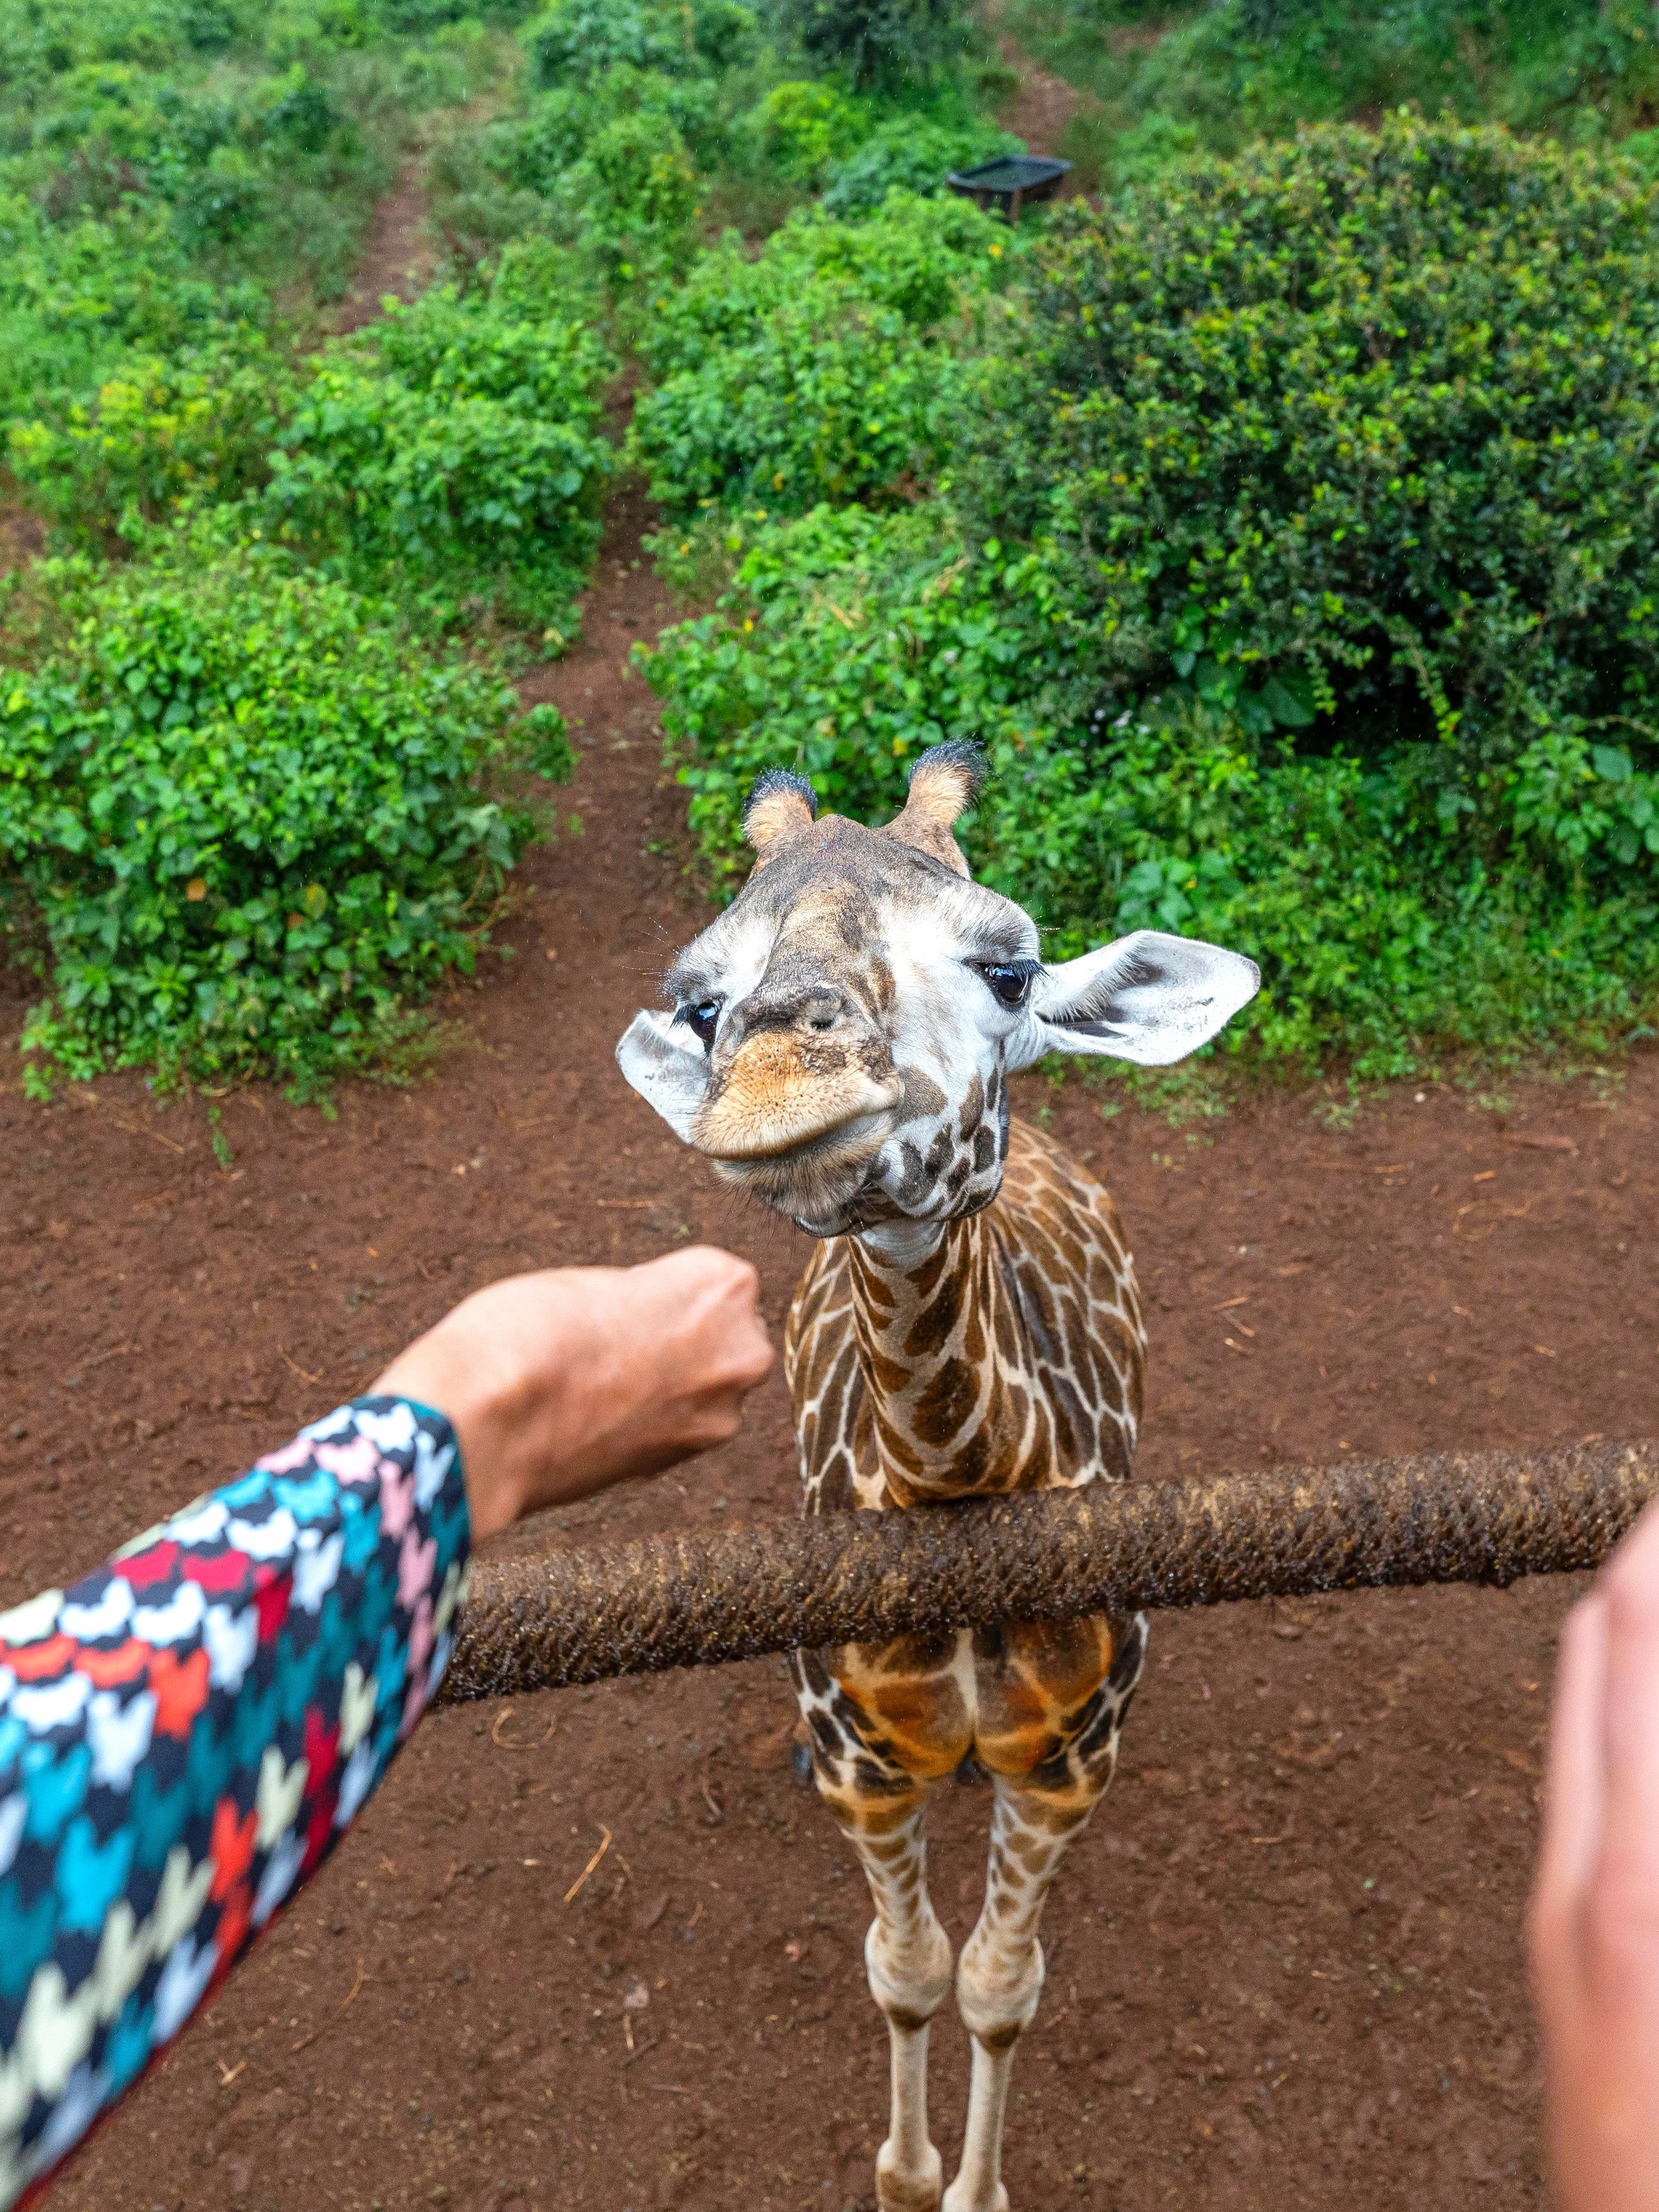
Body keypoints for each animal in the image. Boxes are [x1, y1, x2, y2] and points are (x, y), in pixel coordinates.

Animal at [616, 742, 1258, 2212]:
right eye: (701, 1002)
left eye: (1011, 970)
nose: (780, 1075)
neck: (950, 1490)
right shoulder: (869, 1769)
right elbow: (905, 1971)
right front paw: (909, 2176)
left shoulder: (1065, 1764)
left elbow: (1000, 1985)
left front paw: (974, 2186)